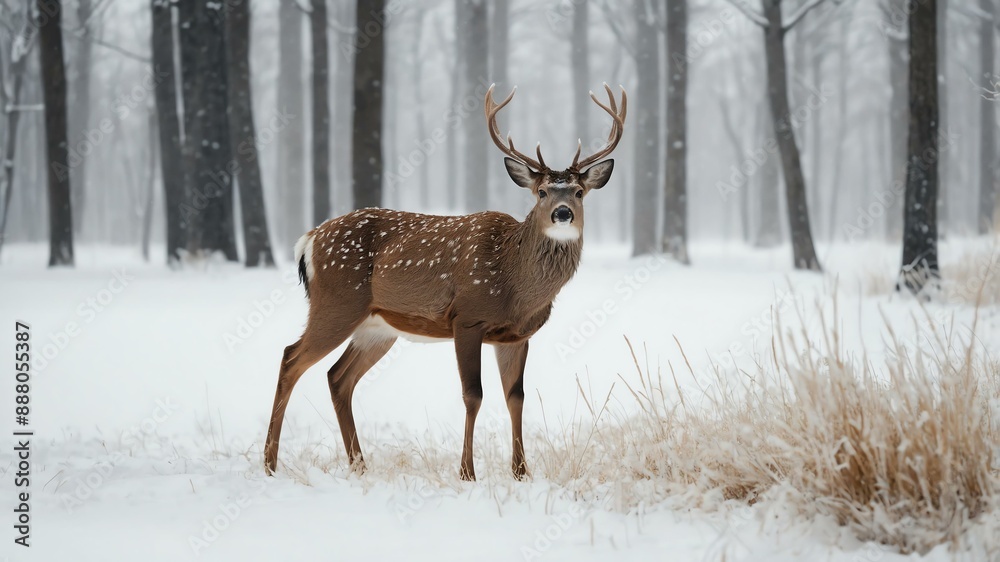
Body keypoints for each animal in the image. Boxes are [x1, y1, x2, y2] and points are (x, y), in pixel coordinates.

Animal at [264, 84, 627, 481]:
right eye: (542, 192)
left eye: (579, 192)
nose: (563, 214)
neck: (513, 282)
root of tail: (308, 239)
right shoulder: (466, 318)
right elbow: (474, 394)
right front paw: (467, 472)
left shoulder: (517, 335)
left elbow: (515, 396)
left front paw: (520, 472)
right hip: (336, 304)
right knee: (290, 358)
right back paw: (269, 463)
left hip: (377, 328)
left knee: (337, 377)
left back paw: (358, 465)